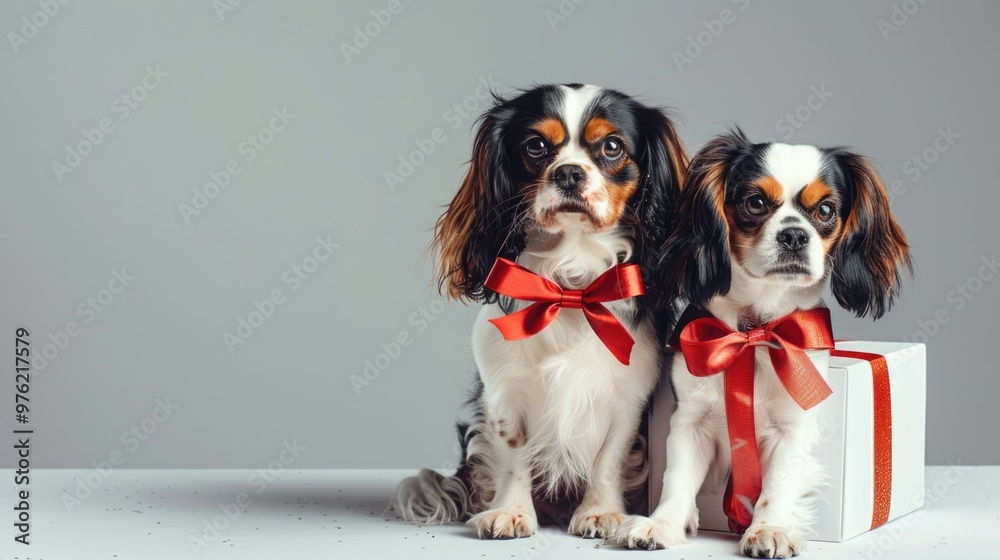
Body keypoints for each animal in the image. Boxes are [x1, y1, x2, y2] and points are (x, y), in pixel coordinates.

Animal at [612, 130, 912, 556]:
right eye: (754, 203)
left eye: (825, 210)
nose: (794, 234)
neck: (752, 332)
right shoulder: (690, 421)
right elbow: (677, 478)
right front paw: (662, 524)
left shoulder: (793, 427)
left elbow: (778, 486)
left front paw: (769, 529)